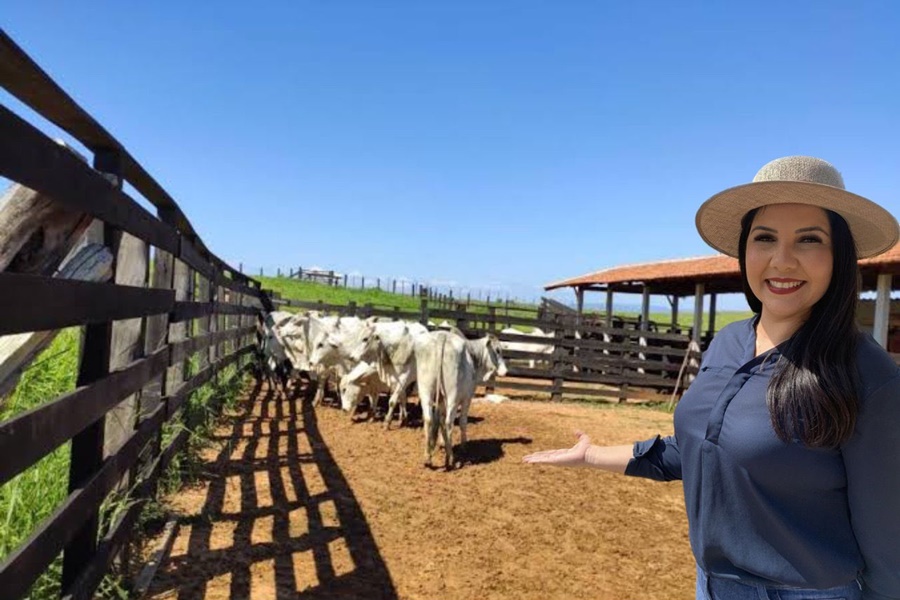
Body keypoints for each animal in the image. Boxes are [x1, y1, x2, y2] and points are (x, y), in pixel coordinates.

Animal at [414, 332, 506, 468]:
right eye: (498, 350)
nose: (505, 371)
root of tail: (442, 336)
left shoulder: (442, 401)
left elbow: (440, 420)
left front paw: (442, 444)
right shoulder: (467, 398)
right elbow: (462, 422)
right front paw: (463, 446)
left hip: (426, 392)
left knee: (429, 419)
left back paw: (428, 458)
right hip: (452, 396)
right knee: (449, 422)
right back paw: (450, 458)